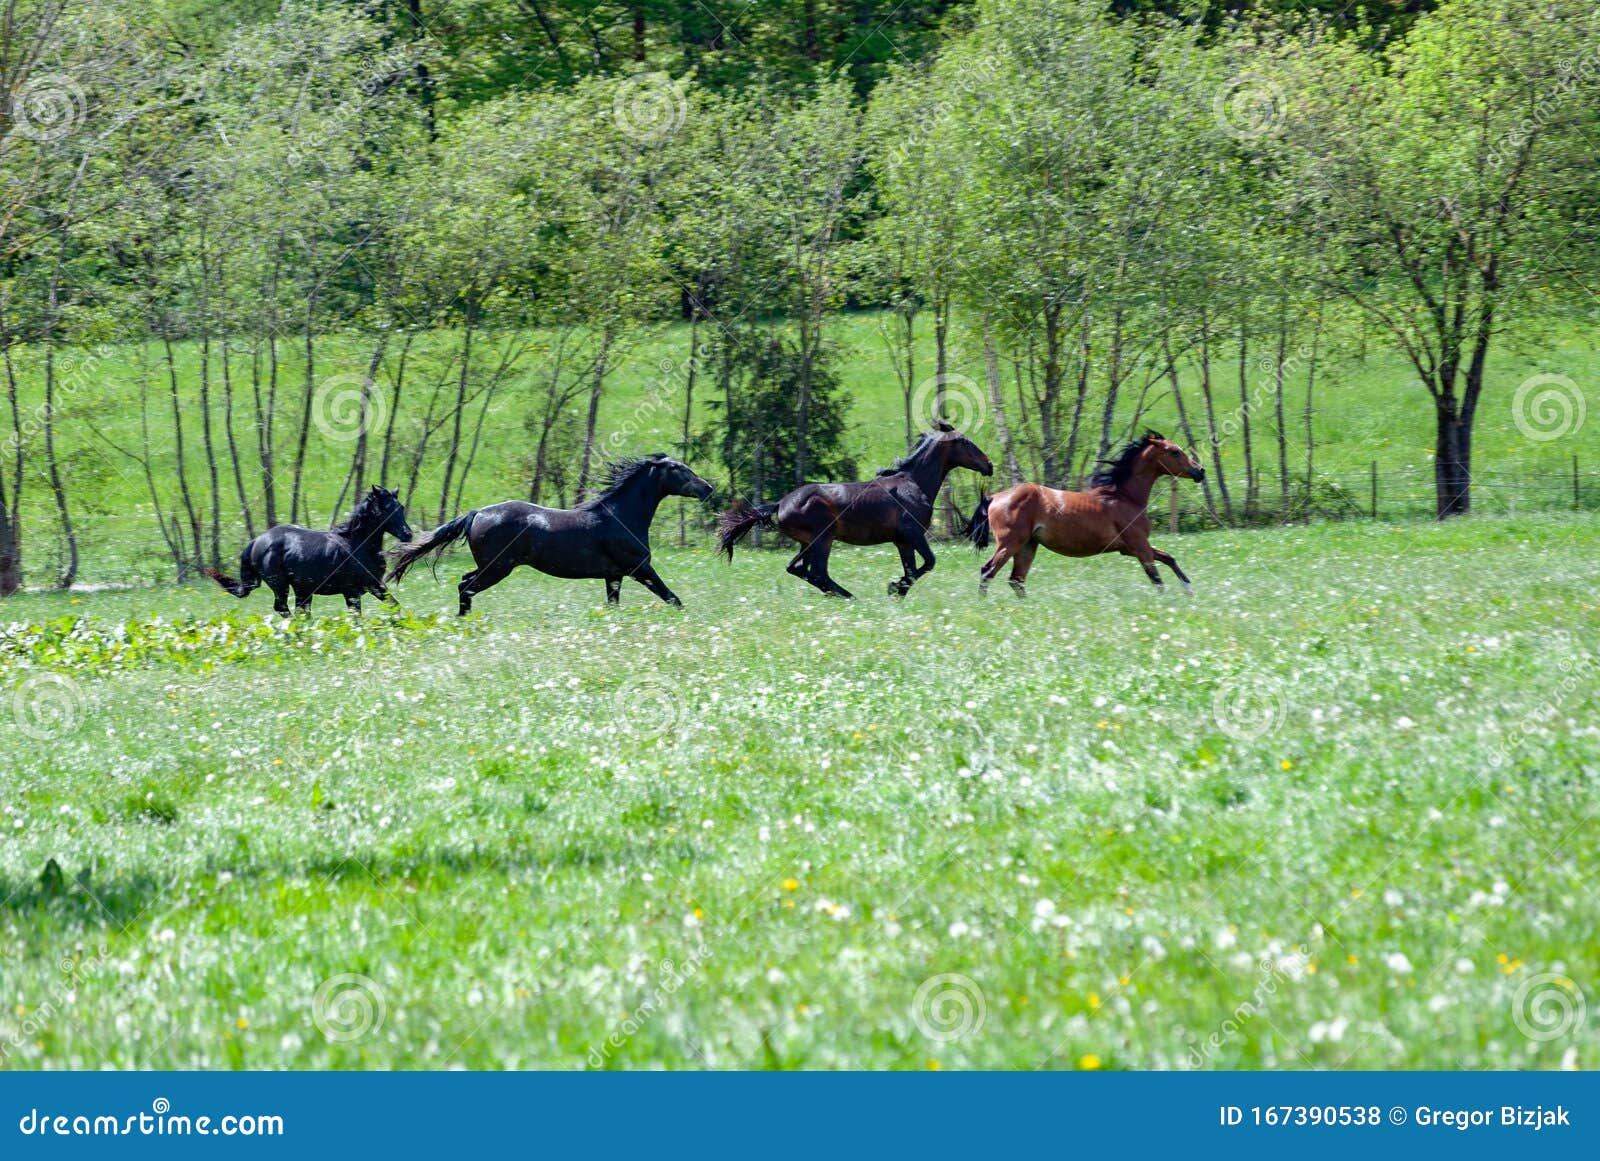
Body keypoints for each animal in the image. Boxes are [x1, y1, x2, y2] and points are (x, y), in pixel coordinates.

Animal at [207, 485, 414, 616]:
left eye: (400, 507)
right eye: (385, 509)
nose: (408, 534)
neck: (356, 546)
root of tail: (257, 540)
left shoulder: (376, 585)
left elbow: (395, 606)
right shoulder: (351, 591)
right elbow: (357, 619)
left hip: (302, 590)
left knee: (301, 613)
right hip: (280, 585)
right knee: (283, 609)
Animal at [385, 453, 715, 614]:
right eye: (680, 469)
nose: (708, 488)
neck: (621, 516)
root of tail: (476, 513)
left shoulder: (614, 575)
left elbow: (614, 605)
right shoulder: (640, 568)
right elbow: (672, 598)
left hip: (490, 566)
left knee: (464, 583)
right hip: (497, 568)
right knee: (465, 587)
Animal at [716, 423, 994, 598]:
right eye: (966, 442)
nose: (989, 465)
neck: (914, 483)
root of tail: (780, 505)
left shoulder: (902, 541)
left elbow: (912, 569)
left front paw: (898, 590)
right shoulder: (913, 534)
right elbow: (929, 563)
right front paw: (894, 588)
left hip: (807, 543)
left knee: (798, 569)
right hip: (823, 539)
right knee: (818, 572)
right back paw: (850, 597)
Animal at [965, 431, 1204, 596]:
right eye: (1175, 451)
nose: (1200, 471)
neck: (1125, 497)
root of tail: (994, 497)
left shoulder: (1129, 548)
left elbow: (1169, 558)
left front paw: (1189, 589)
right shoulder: (1139, 546)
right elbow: (1156, 578)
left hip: (1027, 546)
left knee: (1016, 580)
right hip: (1010, 543)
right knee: (988, 571)